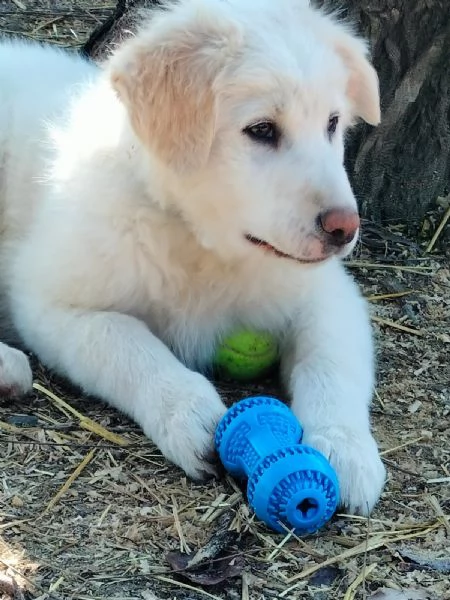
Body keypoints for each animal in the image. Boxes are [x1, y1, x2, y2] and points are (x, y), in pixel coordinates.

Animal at [0, 0, 386, 516]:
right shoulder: (51, 303)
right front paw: (189, 412)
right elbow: (130, 346)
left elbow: (331, 363)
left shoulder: (329, 296)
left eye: (331, 123)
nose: (345, 229)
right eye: (261, 130)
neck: (202, 244)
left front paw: (345, 445)